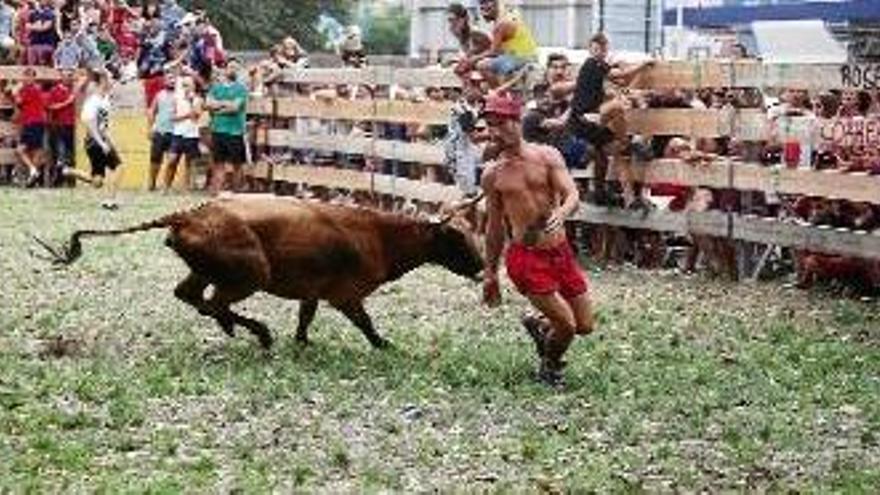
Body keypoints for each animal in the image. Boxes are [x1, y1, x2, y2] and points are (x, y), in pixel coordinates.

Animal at [37, 197, 484, 348]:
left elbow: (306, 316)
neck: (377, 233)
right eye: (458, 240)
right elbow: (364, 321)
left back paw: (240, 329)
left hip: (207, 270)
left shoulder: (313, 291)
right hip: (250, 274)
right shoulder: (345, 295)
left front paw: (302, 341)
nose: (482, 266)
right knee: (216, 303)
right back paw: (257, 332)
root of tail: (189, 214)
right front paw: (383, 344)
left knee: (191, 295)